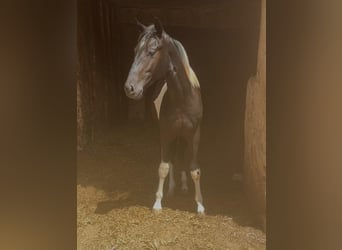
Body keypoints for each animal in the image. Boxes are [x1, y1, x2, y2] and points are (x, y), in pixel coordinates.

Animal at [124, 19, 204, 214]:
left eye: (151, 52)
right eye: (135, 50)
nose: (130, 88)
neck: (183, 98)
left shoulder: (194, 135)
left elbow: (195, 169)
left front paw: (200, 204)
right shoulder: (166, 132)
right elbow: (163, 166)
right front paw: (158, 202)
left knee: (180, 155)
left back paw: (183, 186)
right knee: (171, 159)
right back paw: (172, 187)